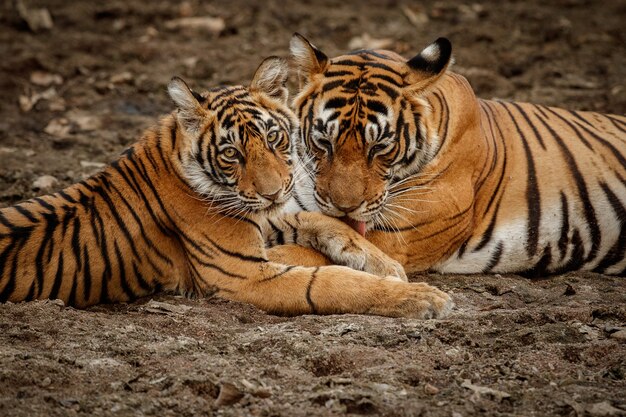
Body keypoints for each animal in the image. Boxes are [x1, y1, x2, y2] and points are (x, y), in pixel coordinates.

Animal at [0, 57, 450, 318]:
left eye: (274, 138)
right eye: (231, 153)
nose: (273, 192)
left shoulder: (265, 218)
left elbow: (319, 220)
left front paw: (384, 264)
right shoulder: (243, 273)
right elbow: (330, 283)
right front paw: (423, 298)